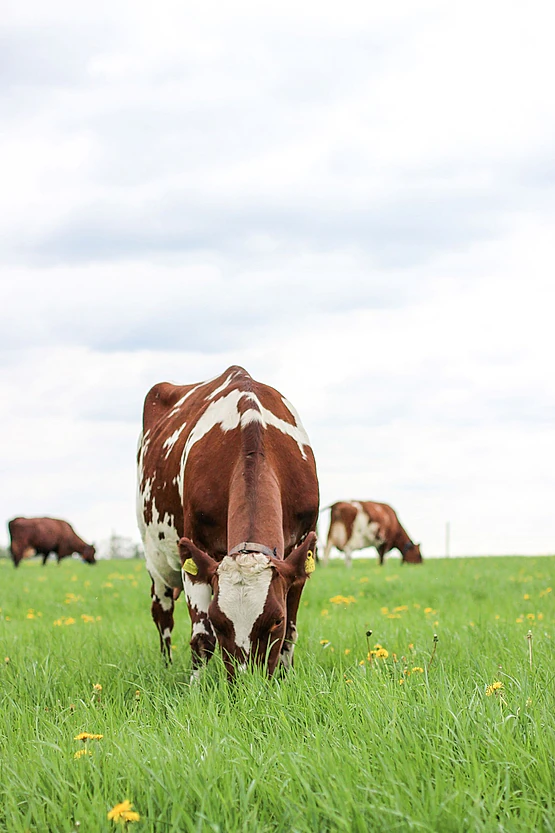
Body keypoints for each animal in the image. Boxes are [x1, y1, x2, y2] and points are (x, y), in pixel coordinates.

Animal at [137, 364, 320, 676]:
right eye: (219, 622)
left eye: (276, 620)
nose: (249, 682)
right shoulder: (195, 549)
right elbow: (202, 639)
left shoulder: (299, 556)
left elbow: (290, 634)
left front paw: (286, 678)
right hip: (156, 557)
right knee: (162, 612)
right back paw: (166, 665)